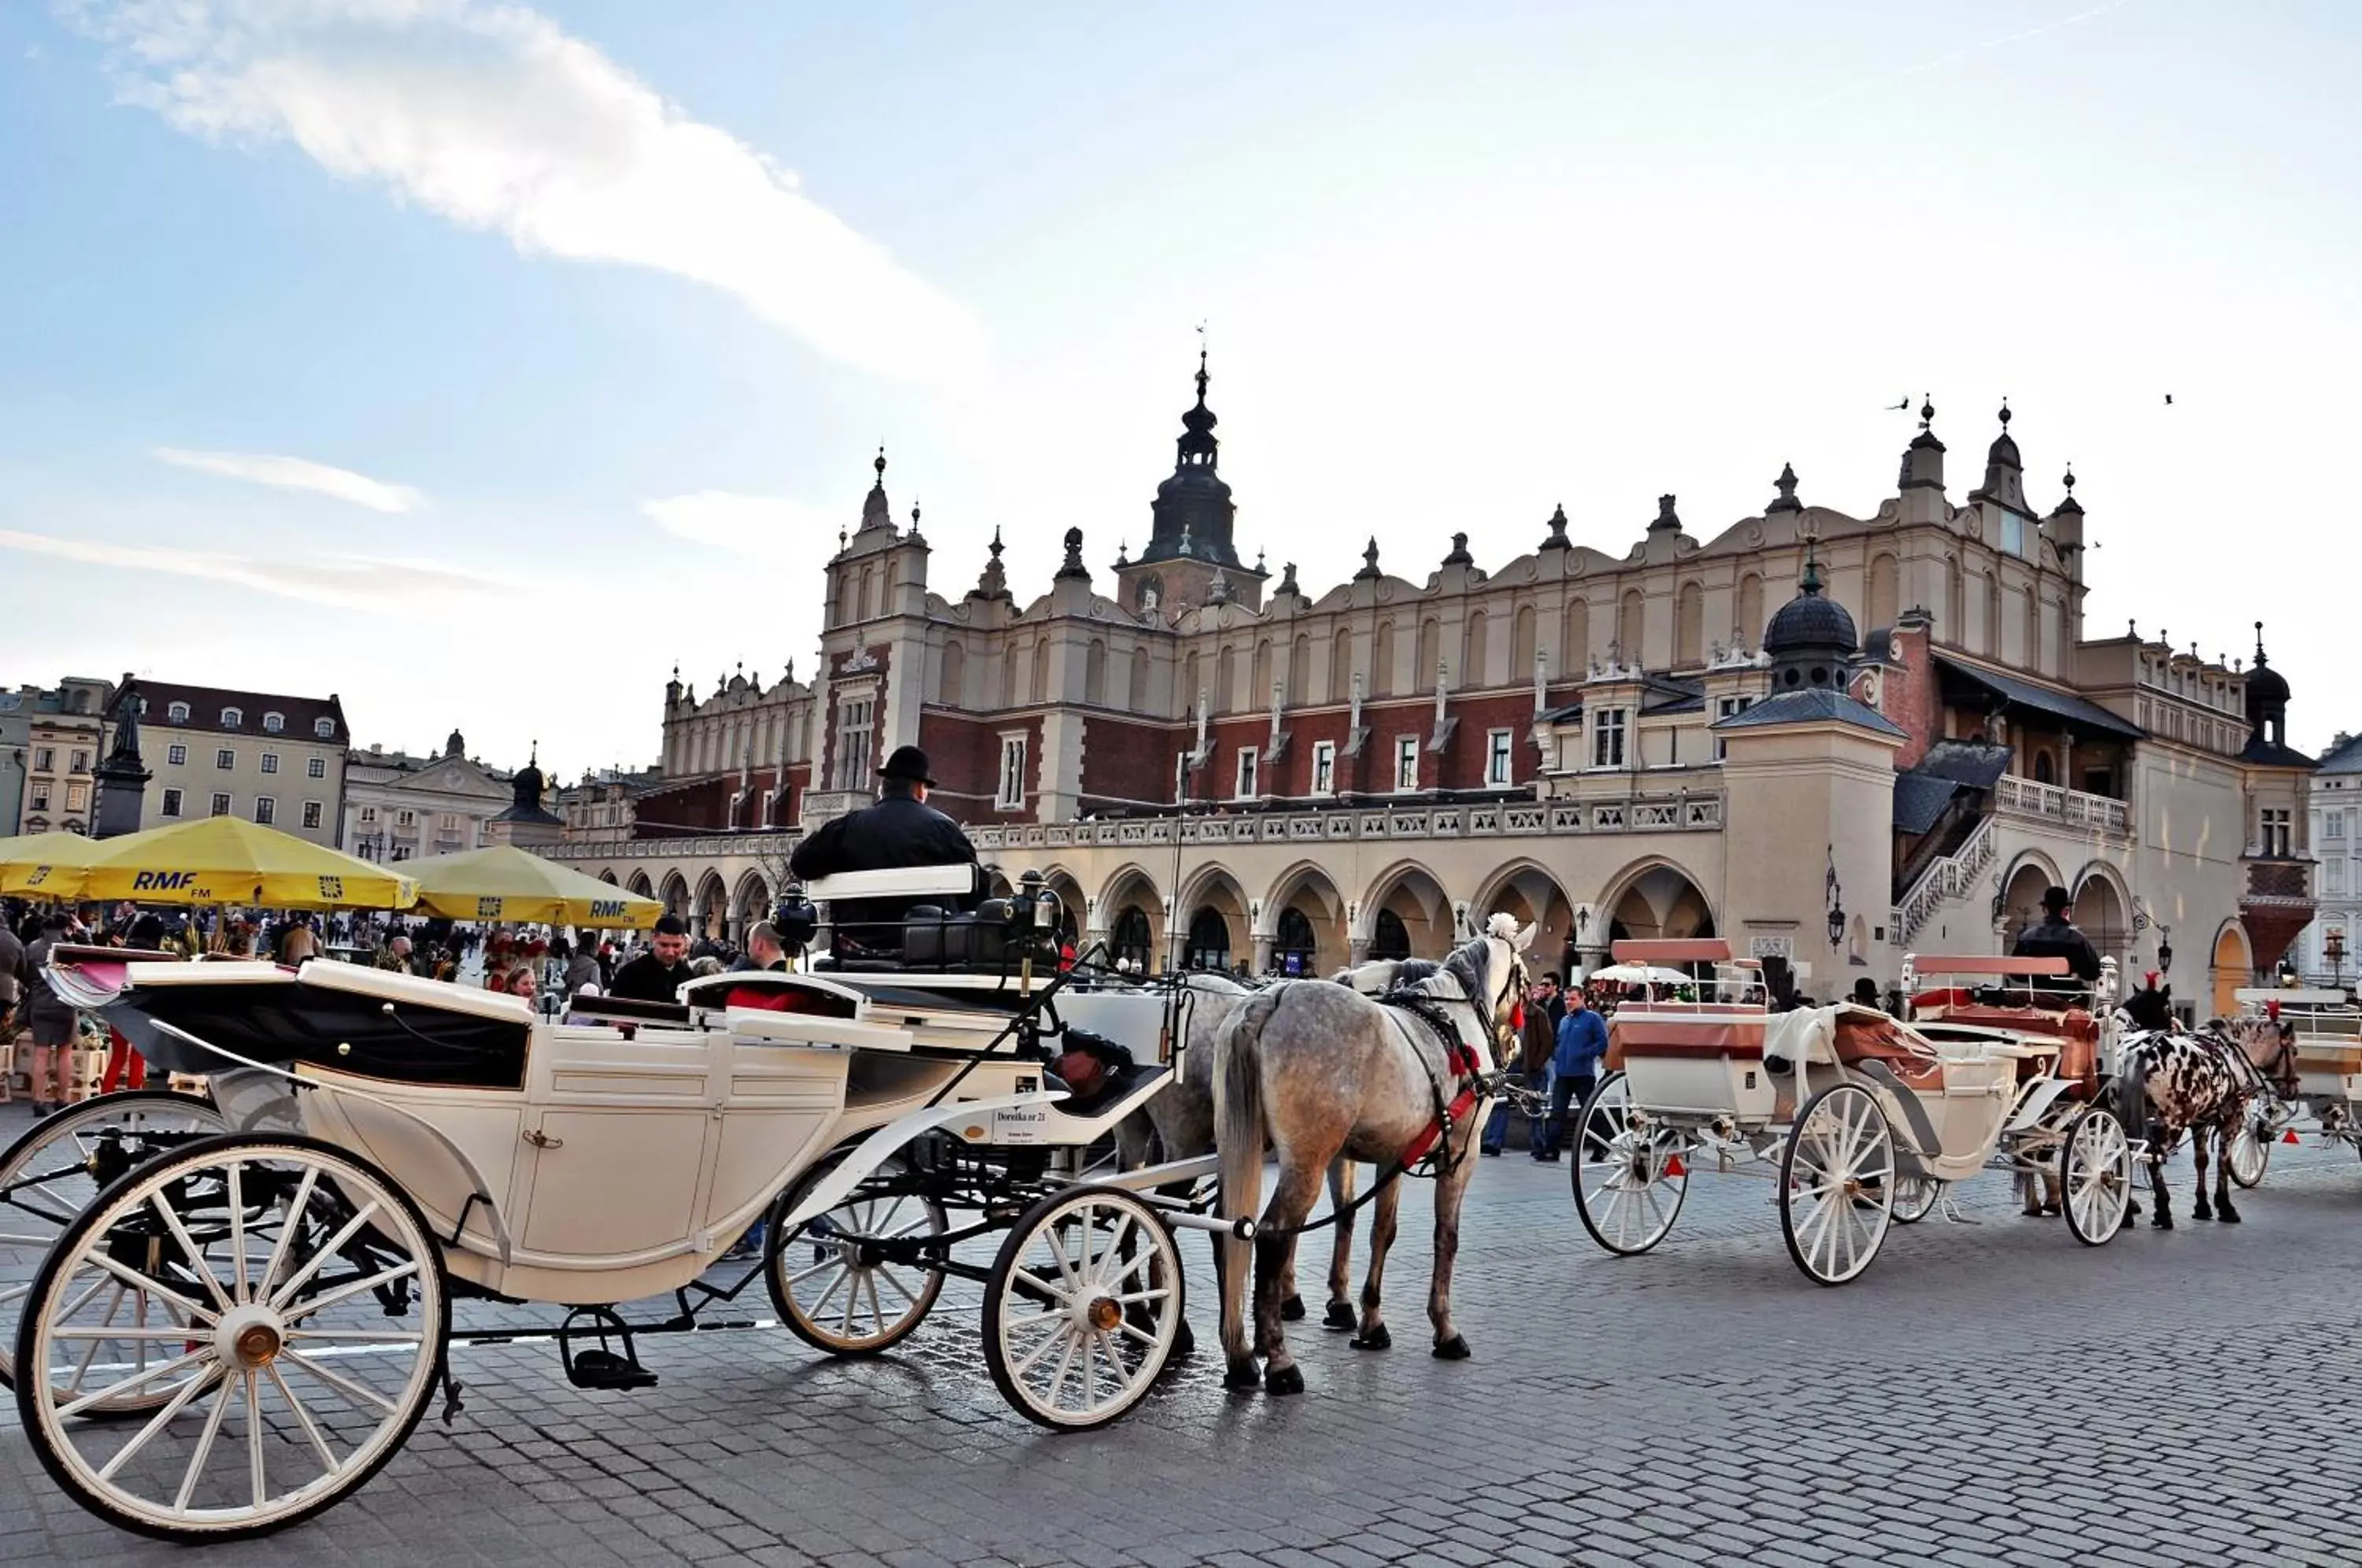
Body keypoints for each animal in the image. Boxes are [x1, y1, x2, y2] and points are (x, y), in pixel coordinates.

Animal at [1219, 921, 1531, 1398]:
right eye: (1527, 983)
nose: (1513, 1048)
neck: (1453, 1027)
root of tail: (1274, 997)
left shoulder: (1395, 1155)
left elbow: (1382, 1231)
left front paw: (1369, 1322)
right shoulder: (1463, 1154)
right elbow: (1447, 1237)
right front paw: (1445, 1329)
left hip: (1241, 1144)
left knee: (1232, 1231)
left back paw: (1239, 1357)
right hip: (1307, 1160)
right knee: (1272, 1235)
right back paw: (1280, 1361)